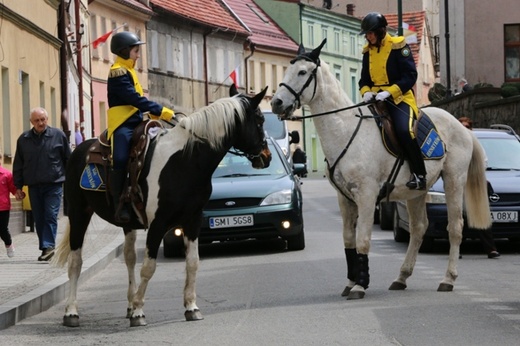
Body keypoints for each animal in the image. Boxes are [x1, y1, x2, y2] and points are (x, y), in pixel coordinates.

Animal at [272, 39, 492, 300]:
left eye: (303, 72)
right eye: (287, 69)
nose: (276, 103)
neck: (345, 130)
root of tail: (461, 126)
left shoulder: (366, 195)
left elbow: (363, 240)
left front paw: (360, 285)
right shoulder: (345, 199)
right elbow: (348, 240)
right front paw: (351, 281)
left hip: (454, 180)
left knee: (455, 227)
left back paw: (448, 279)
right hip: (417, 191)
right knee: (418, 229)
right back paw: (402, 277)